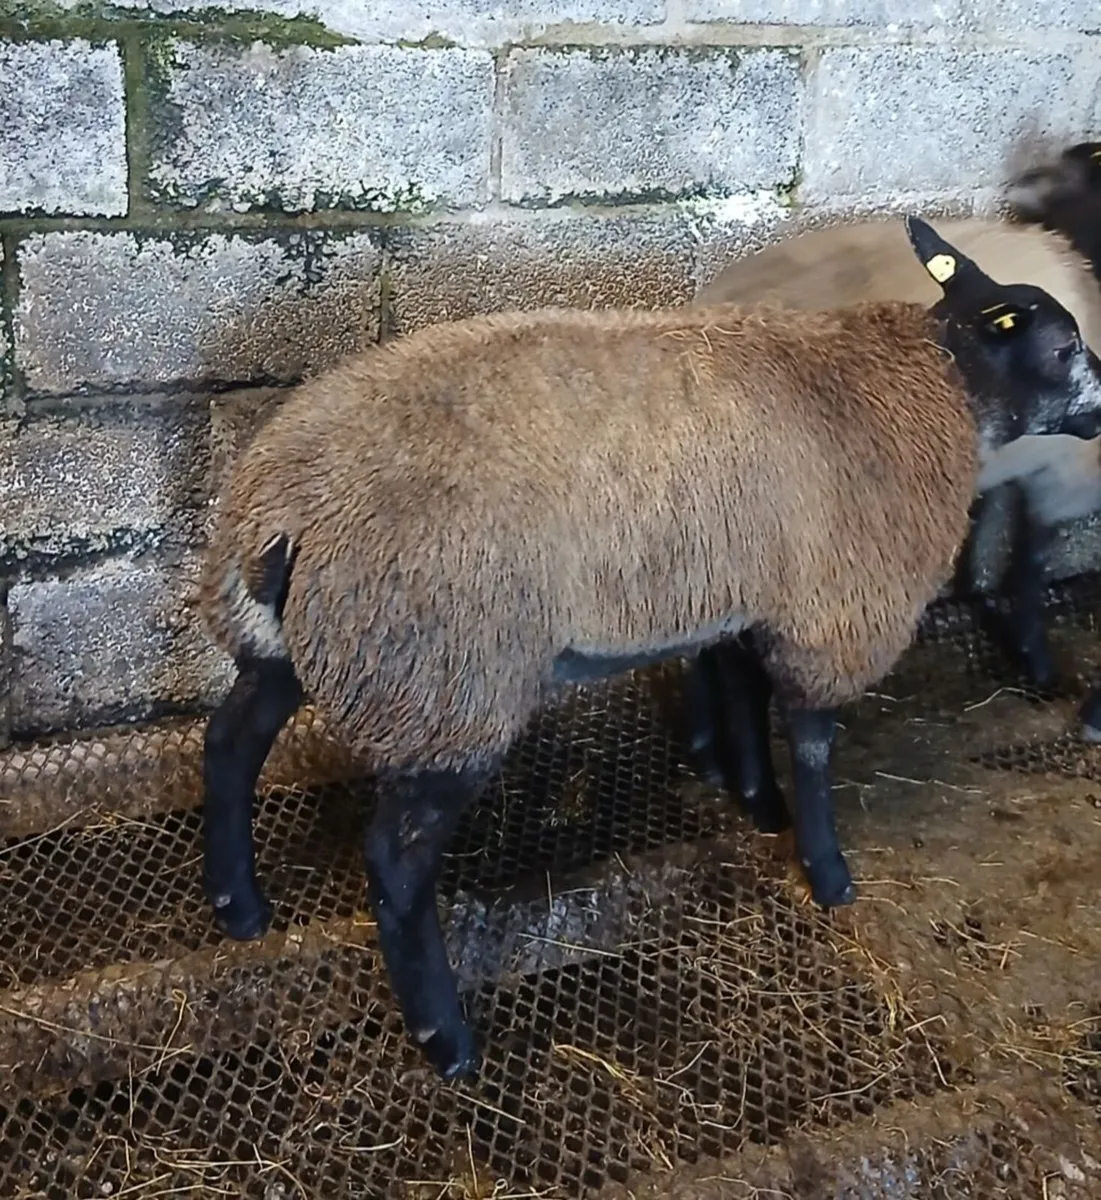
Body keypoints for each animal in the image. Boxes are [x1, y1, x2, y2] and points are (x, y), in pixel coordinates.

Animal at [198, 216, 1101, 1081]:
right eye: (1062, 348)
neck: (931, 384)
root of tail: (281, 508)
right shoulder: (832, 609)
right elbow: (809, 744)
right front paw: (826, 871)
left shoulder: (747, 589)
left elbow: (737, 690)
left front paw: (752, 798)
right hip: (446, 676)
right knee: (393, 862)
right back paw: (444, 1040)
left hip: (301, 643)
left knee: (230, 746)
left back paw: (238, 908)